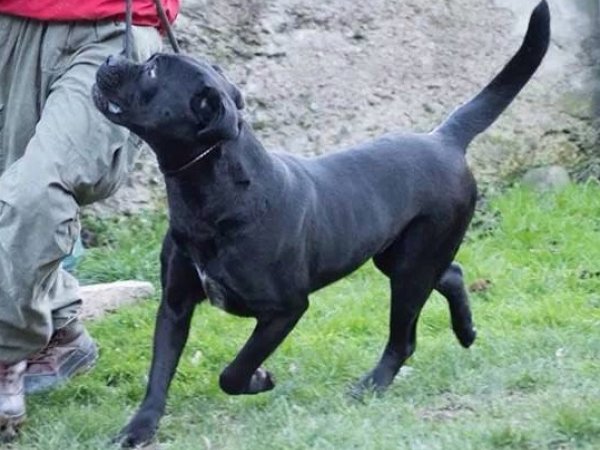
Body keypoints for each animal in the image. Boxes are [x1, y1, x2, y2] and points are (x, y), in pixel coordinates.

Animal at [93, 1, 549, 447]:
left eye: (153, 69)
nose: (111, 57)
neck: (208, 194)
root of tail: (443, 138)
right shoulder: (175, 302)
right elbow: (159, 372)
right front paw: (139, 429)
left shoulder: (286, 308)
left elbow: (233, 372)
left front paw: (261, 379)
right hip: (399, 258)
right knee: (452, 274)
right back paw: (466, 331)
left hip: (412, 268)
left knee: (403, 339)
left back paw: (370, 386)